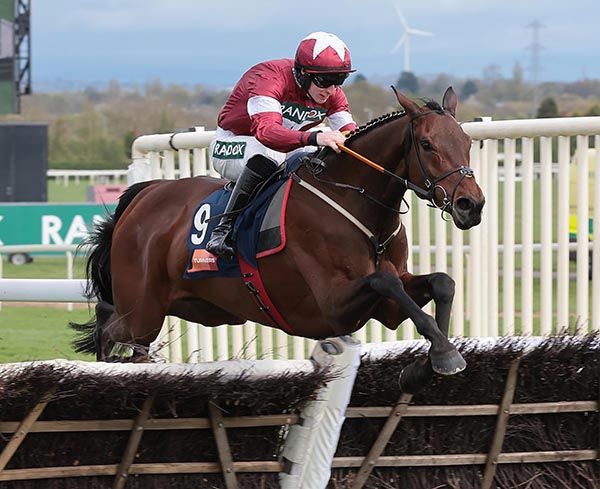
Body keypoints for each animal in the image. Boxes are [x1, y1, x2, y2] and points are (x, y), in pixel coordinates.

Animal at [74, 87, 488, 392]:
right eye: (427, 144)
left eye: (466, 141)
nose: (471, 204)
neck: (353, 199)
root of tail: (143, 194)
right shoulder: (332, 306)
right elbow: (385, 281)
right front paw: (445, 356)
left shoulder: (385, 308)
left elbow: (441, 284)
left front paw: (431, 362)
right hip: (141, 313)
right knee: (108, 329)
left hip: (200, 308)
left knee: (121, 333)